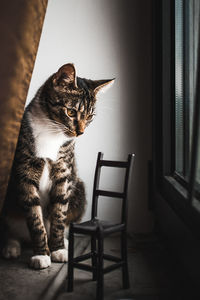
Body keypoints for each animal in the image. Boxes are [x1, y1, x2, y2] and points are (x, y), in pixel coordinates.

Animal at [1, 63, 114, 270]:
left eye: (90, 116)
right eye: (71, 112)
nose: (80, 132)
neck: (51, 132)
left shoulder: (64, 171)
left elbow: (59, 213)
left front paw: (59, 249)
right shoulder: (25, 170)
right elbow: (34, 216)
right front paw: (41, 255)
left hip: (79, 190)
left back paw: (66, 242)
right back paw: (11, 246)